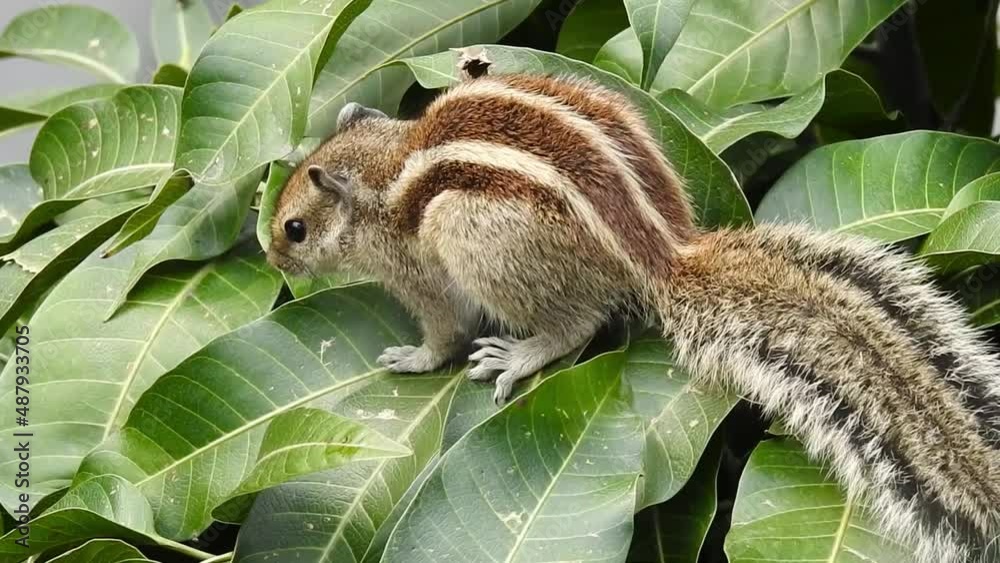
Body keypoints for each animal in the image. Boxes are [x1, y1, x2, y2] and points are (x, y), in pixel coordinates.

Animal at [266, 68, 1000, 563]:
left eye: (295, 227)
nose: (271, 256)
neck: (385, 165)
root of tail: (661, 252)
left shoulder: (417, 269)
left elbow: (443, 330)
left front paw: (414, 357)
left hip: (473, 231)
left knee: (579, 322)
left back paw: (522, 352)